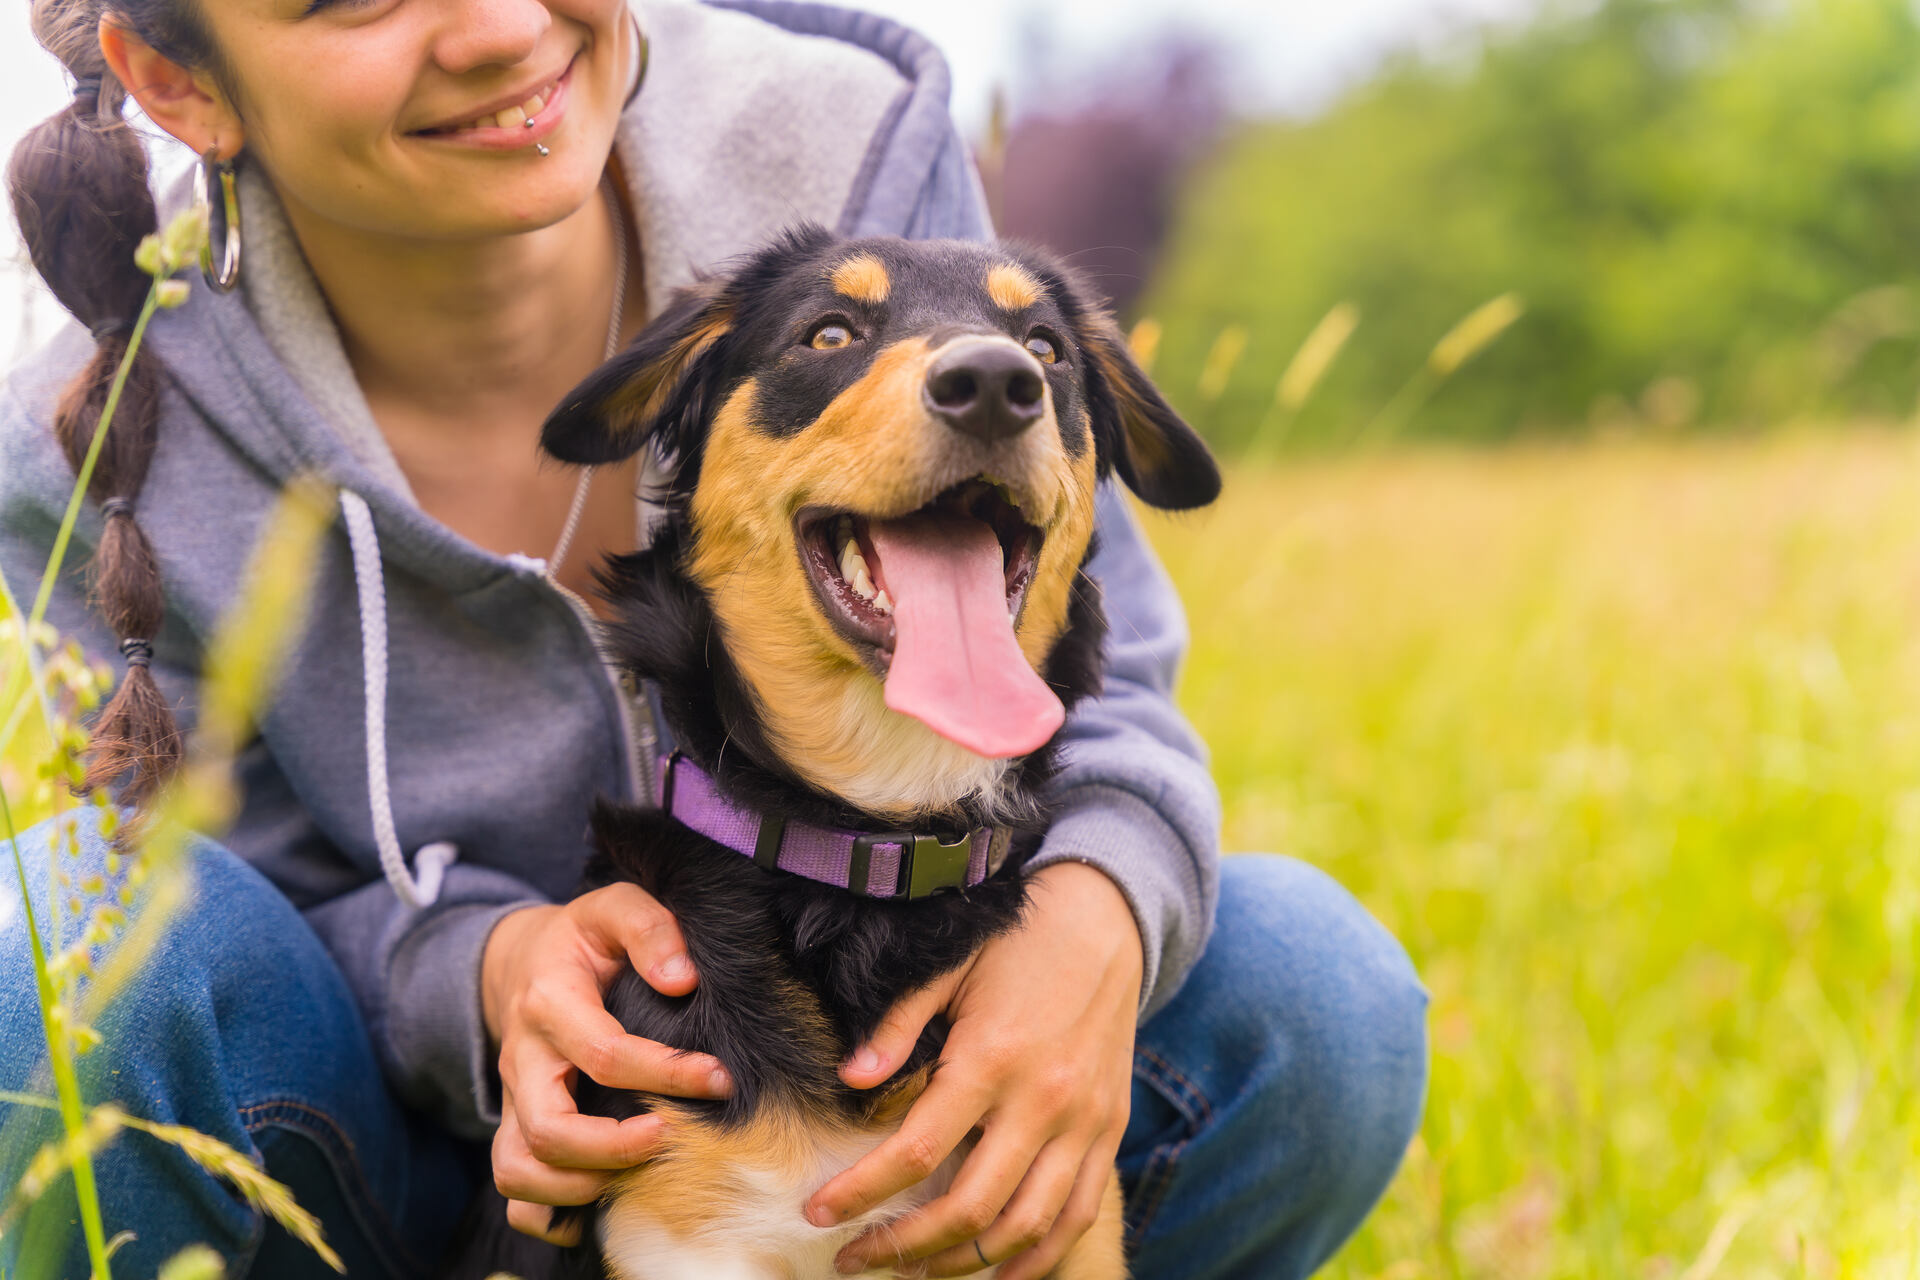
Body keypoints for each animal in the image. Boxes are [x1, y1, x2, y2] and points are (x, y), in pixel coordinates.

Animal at [439, 227, 1213, 1280]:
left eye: (1046, 349)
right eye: (831, 333)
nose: (994, 382)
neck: (870, 850)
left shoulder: (1064, 1230)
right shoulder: (690, 1236)